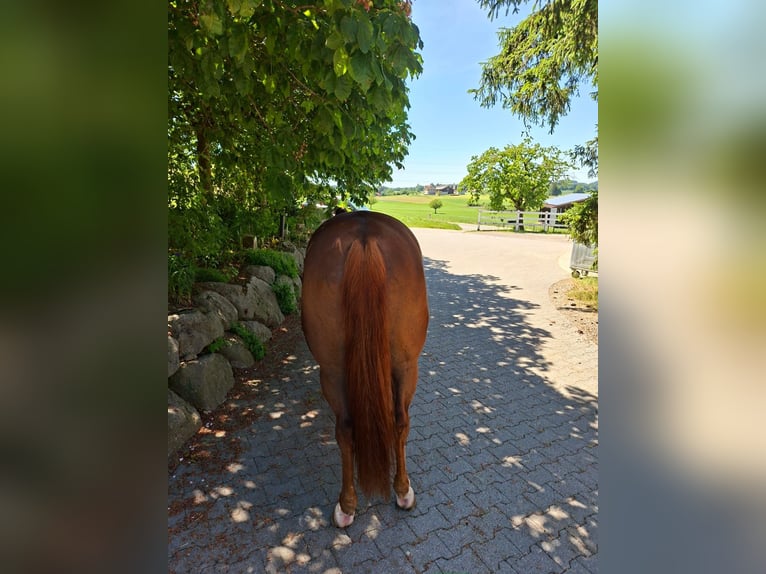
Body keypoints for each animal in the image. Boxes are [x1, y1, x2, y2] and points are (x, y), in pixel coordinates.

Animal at [301, 211, 429, 528]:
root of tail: (364, 238)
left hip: (334, 371)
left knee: (350, 427)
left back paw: (350, 504)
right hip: (406, 366)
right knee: (395, 421)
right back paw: (399, 491)